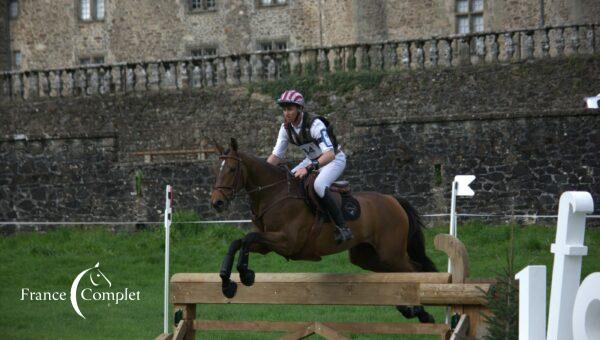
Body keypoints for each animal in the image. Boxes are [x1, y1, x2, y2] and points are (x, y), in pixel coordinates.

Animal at [209, 137, 438, 322]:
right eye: (215, 169)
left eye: (231, 169)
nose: (217, 203)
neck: (274, 194)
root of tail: (393, 199)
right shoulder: (267, 245)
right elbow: (239, 242)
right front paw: (227, 283)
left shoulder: (287, 242)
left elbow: (249, 237)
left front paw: (245, 274)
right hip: (367, 256)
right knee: (398, 273)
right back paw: (408, 309)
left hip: (391, 252)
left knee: (414, 270)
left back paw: (421, 312)